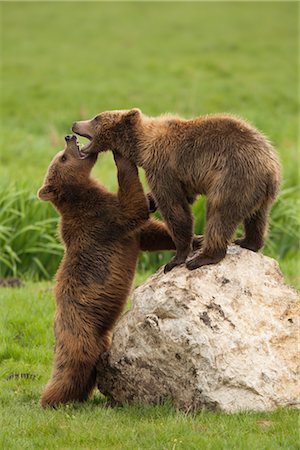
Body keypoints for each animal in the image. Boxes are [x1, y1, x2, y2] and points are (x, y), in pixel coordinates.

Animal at [37, 134, 176, 408]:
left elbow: (150, 232)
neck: (83, 195)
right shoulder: (105, 220)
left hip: (100, 337)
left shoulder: (119, 225)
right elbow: (132, 208)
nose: (69, 137)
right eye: (63, 157)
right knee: (71, 368)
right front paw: (120, 155)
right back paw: (50, 400)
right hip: (79, 330)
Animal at [72, 110, 282, 270]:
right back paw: (248, 242)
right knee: (258, 217)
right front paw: (149, 201)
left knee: (218, 214)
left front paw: (175, 259)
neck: (143, 147)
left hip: (233, 178)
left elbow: (175, 208)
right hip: (258, 191)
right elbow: (185, 197)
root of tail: (270, 168)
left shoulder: (163, 167)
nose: (75, 123)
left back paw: (203, 257)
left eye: (96, 118)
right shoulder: (183, 177)